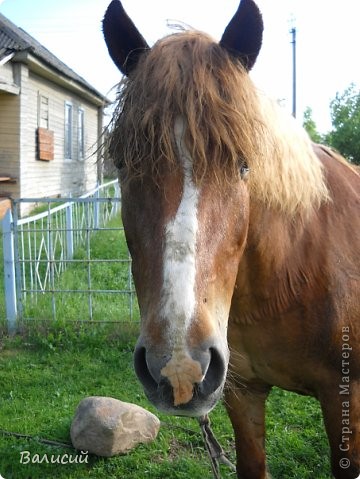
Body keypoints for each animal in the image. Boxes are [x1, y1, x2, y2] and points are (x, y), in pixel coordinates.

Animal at [102, 1, 360, 478]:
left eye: (243, 164)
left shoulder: (345, 396)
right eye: (124, 163)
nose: (179, 367)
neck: (288, 276)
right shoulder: (241, 394)